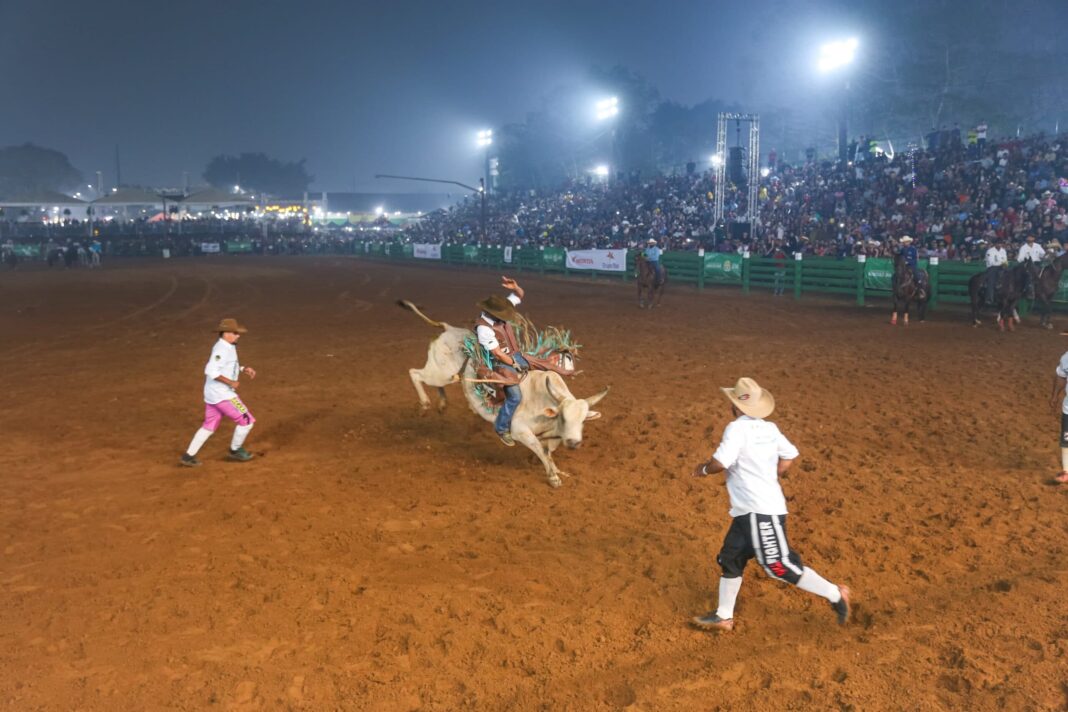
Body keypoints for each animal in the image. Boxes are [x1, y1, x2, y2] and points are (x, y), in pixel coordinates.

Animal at [461, 367, 610, 491]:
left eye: (583, 420)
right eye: (562, 417)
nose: (573, 443)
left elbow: (547, 453)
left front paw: (557, 471)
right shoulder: (520, 431)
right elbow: (541, 451)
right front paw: (553, 478)